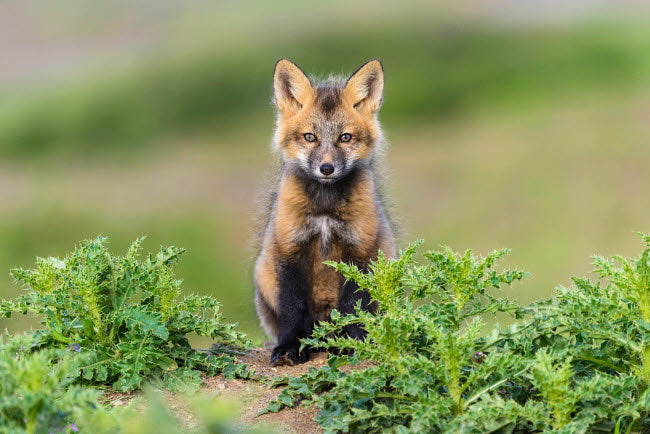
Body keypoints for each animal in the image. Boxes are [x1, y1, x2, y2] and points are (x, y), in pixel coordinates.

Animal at [254, 59, 396, 366]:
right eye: (310, 137)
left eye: (345, 138)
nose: (327, 168)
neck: (325, 211)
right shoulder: (291, 249)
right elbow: (293, 307)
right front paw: (290, 347)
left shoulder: (359, 252)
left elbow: (351, 306)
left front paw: (352, 343)